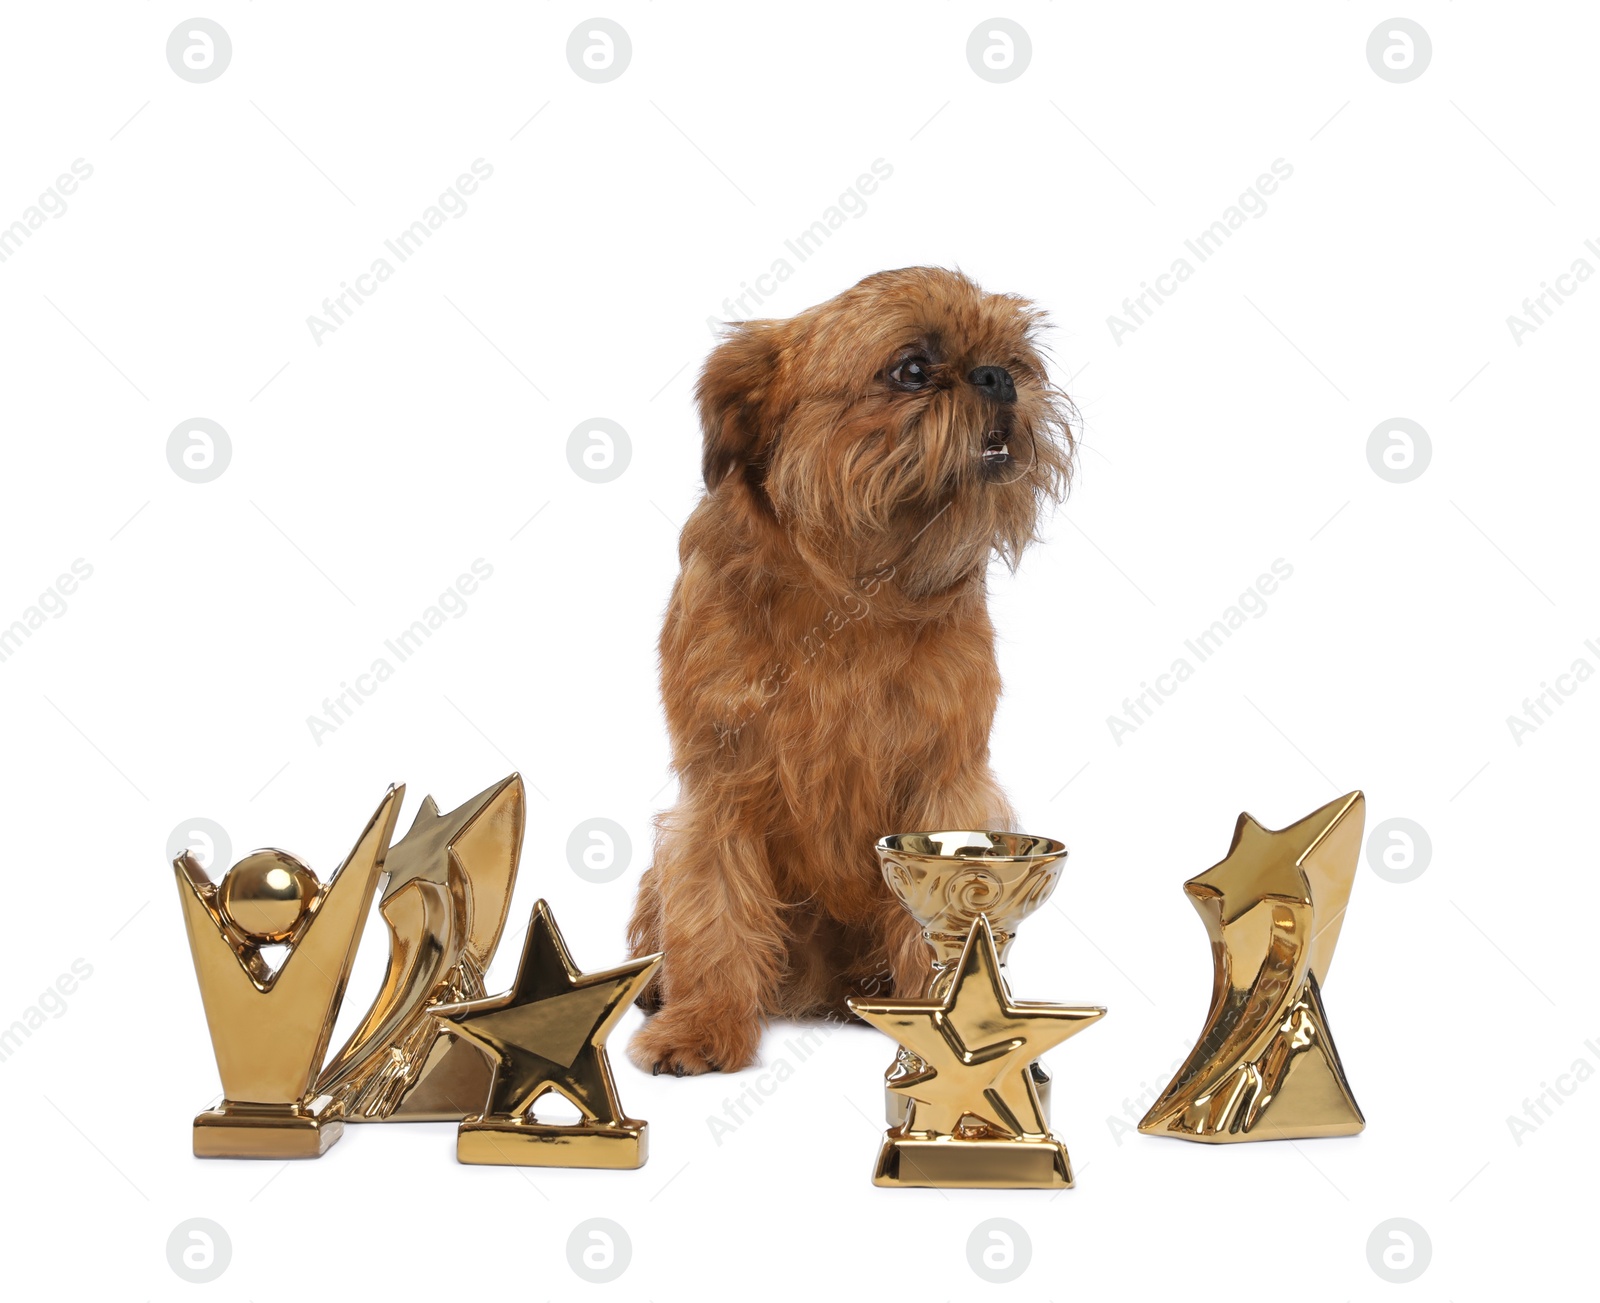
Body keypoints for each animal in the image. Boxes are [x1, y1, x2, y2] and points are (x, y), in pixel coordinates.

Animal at [627, 267, 1075, 1082]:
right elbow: (713, 911)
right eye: (912, 370)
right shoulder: (717, 793)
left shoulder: (947, 787)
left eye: (1015, 358)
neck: (853, 589)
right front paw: (702, 1025)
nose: (998, 378)